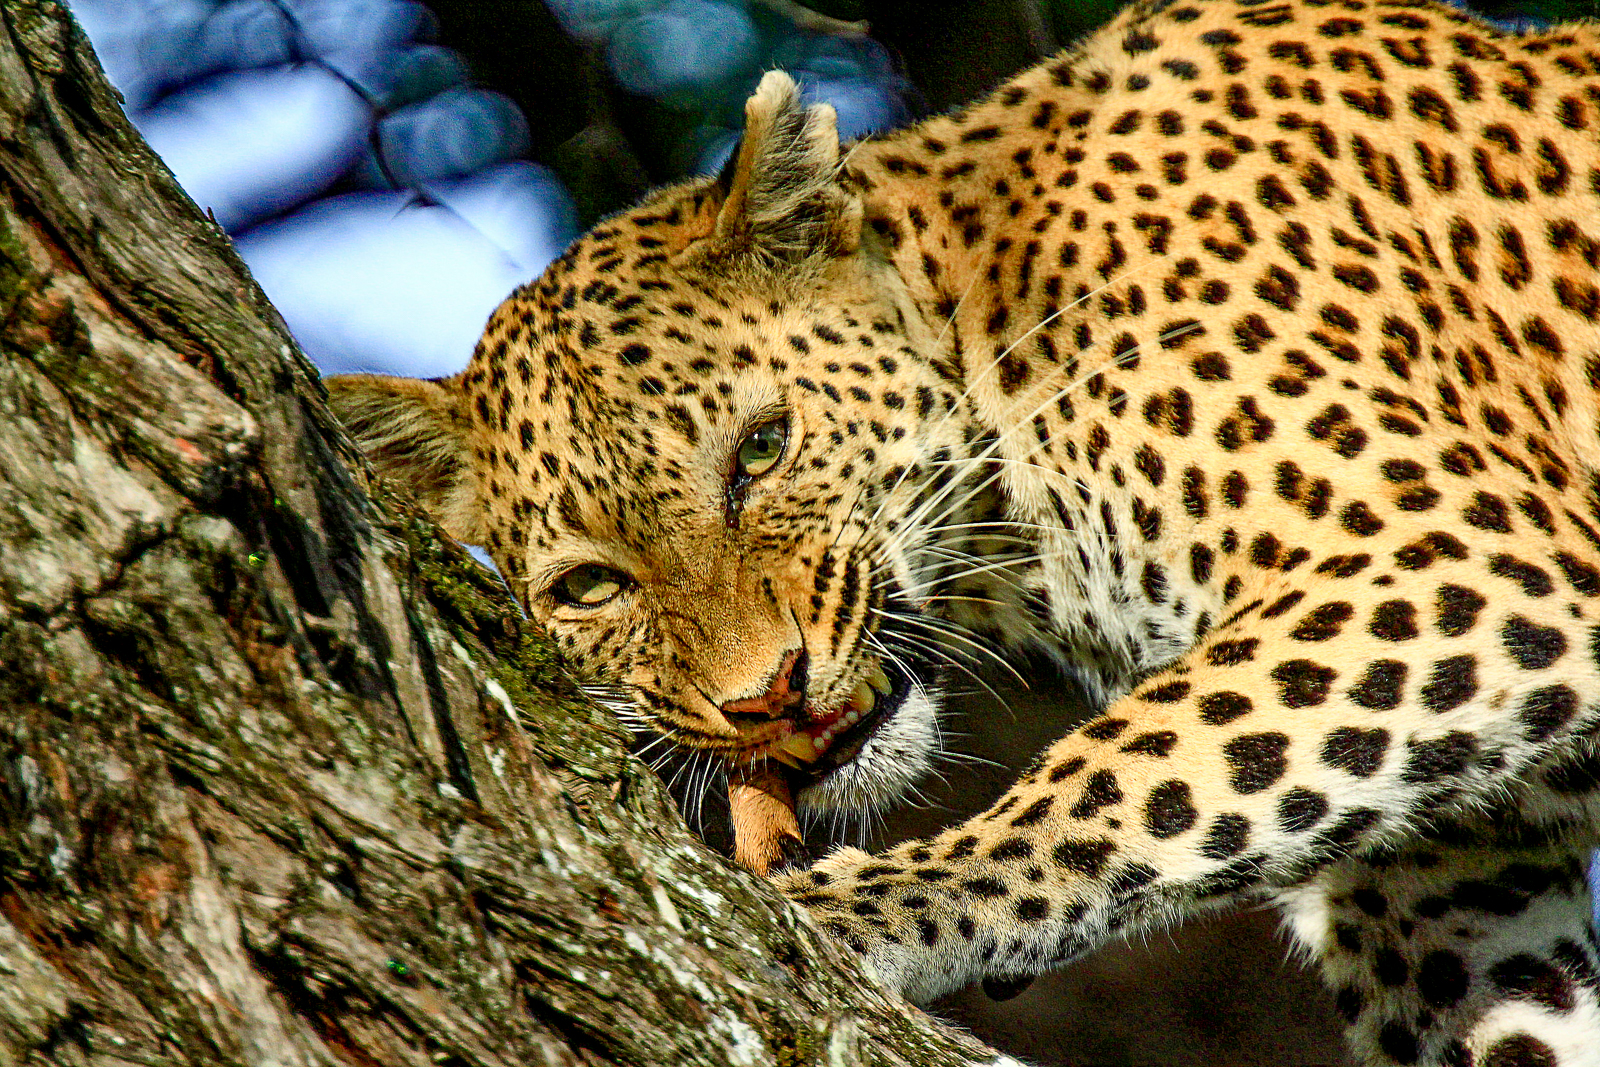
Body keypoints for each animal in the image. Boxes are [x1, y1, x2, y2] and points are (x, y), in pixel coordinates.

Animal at [327, 0, 1600, 1062]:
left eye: (761, 450)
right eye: (590, 586)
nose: (764, 696)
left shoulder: (1452, 552)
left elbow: (1124, 775)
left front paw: (872, 905)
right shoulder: (1453, 884)